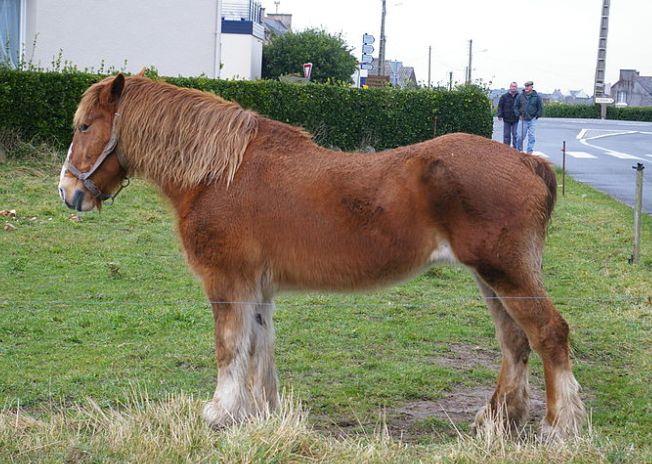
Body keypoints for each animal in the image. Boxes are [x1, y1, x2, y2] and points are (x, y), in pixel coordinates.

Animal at [57, 72, 585, 439]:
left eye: (84, 126)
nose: (68, 193)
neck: (220, 173)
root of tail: (528, 160)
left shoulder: (227, 282)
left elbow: (230, 347)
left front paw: (219, 413)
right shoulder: (258, 288)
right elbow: (259, 349)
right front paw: (263, 415)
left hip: (507, 274)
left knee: (548, 335)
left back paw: (558, 427)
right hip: (489, 278)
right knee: (514, 343)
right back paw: (497, 421)